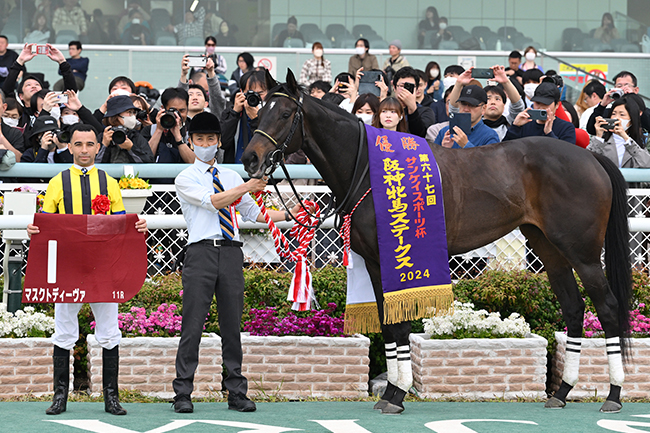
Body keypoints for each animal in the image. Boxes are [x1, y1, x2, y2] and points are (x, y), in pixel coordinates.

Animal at [240, 69, 632, 414]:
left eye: (286, 113)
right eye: (259, 110)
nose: (250, 157)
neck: (367, 167)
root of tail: (590, 155)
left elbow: (399, 324)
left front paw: (397, 395)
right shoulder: (375, 262)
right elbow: (389, 323)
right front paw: (392, 392)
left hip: (582, 253)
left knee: (608, 308)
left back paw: (614, 394)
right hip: (550, 248)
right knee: (574, 308)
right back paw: (562, 392)